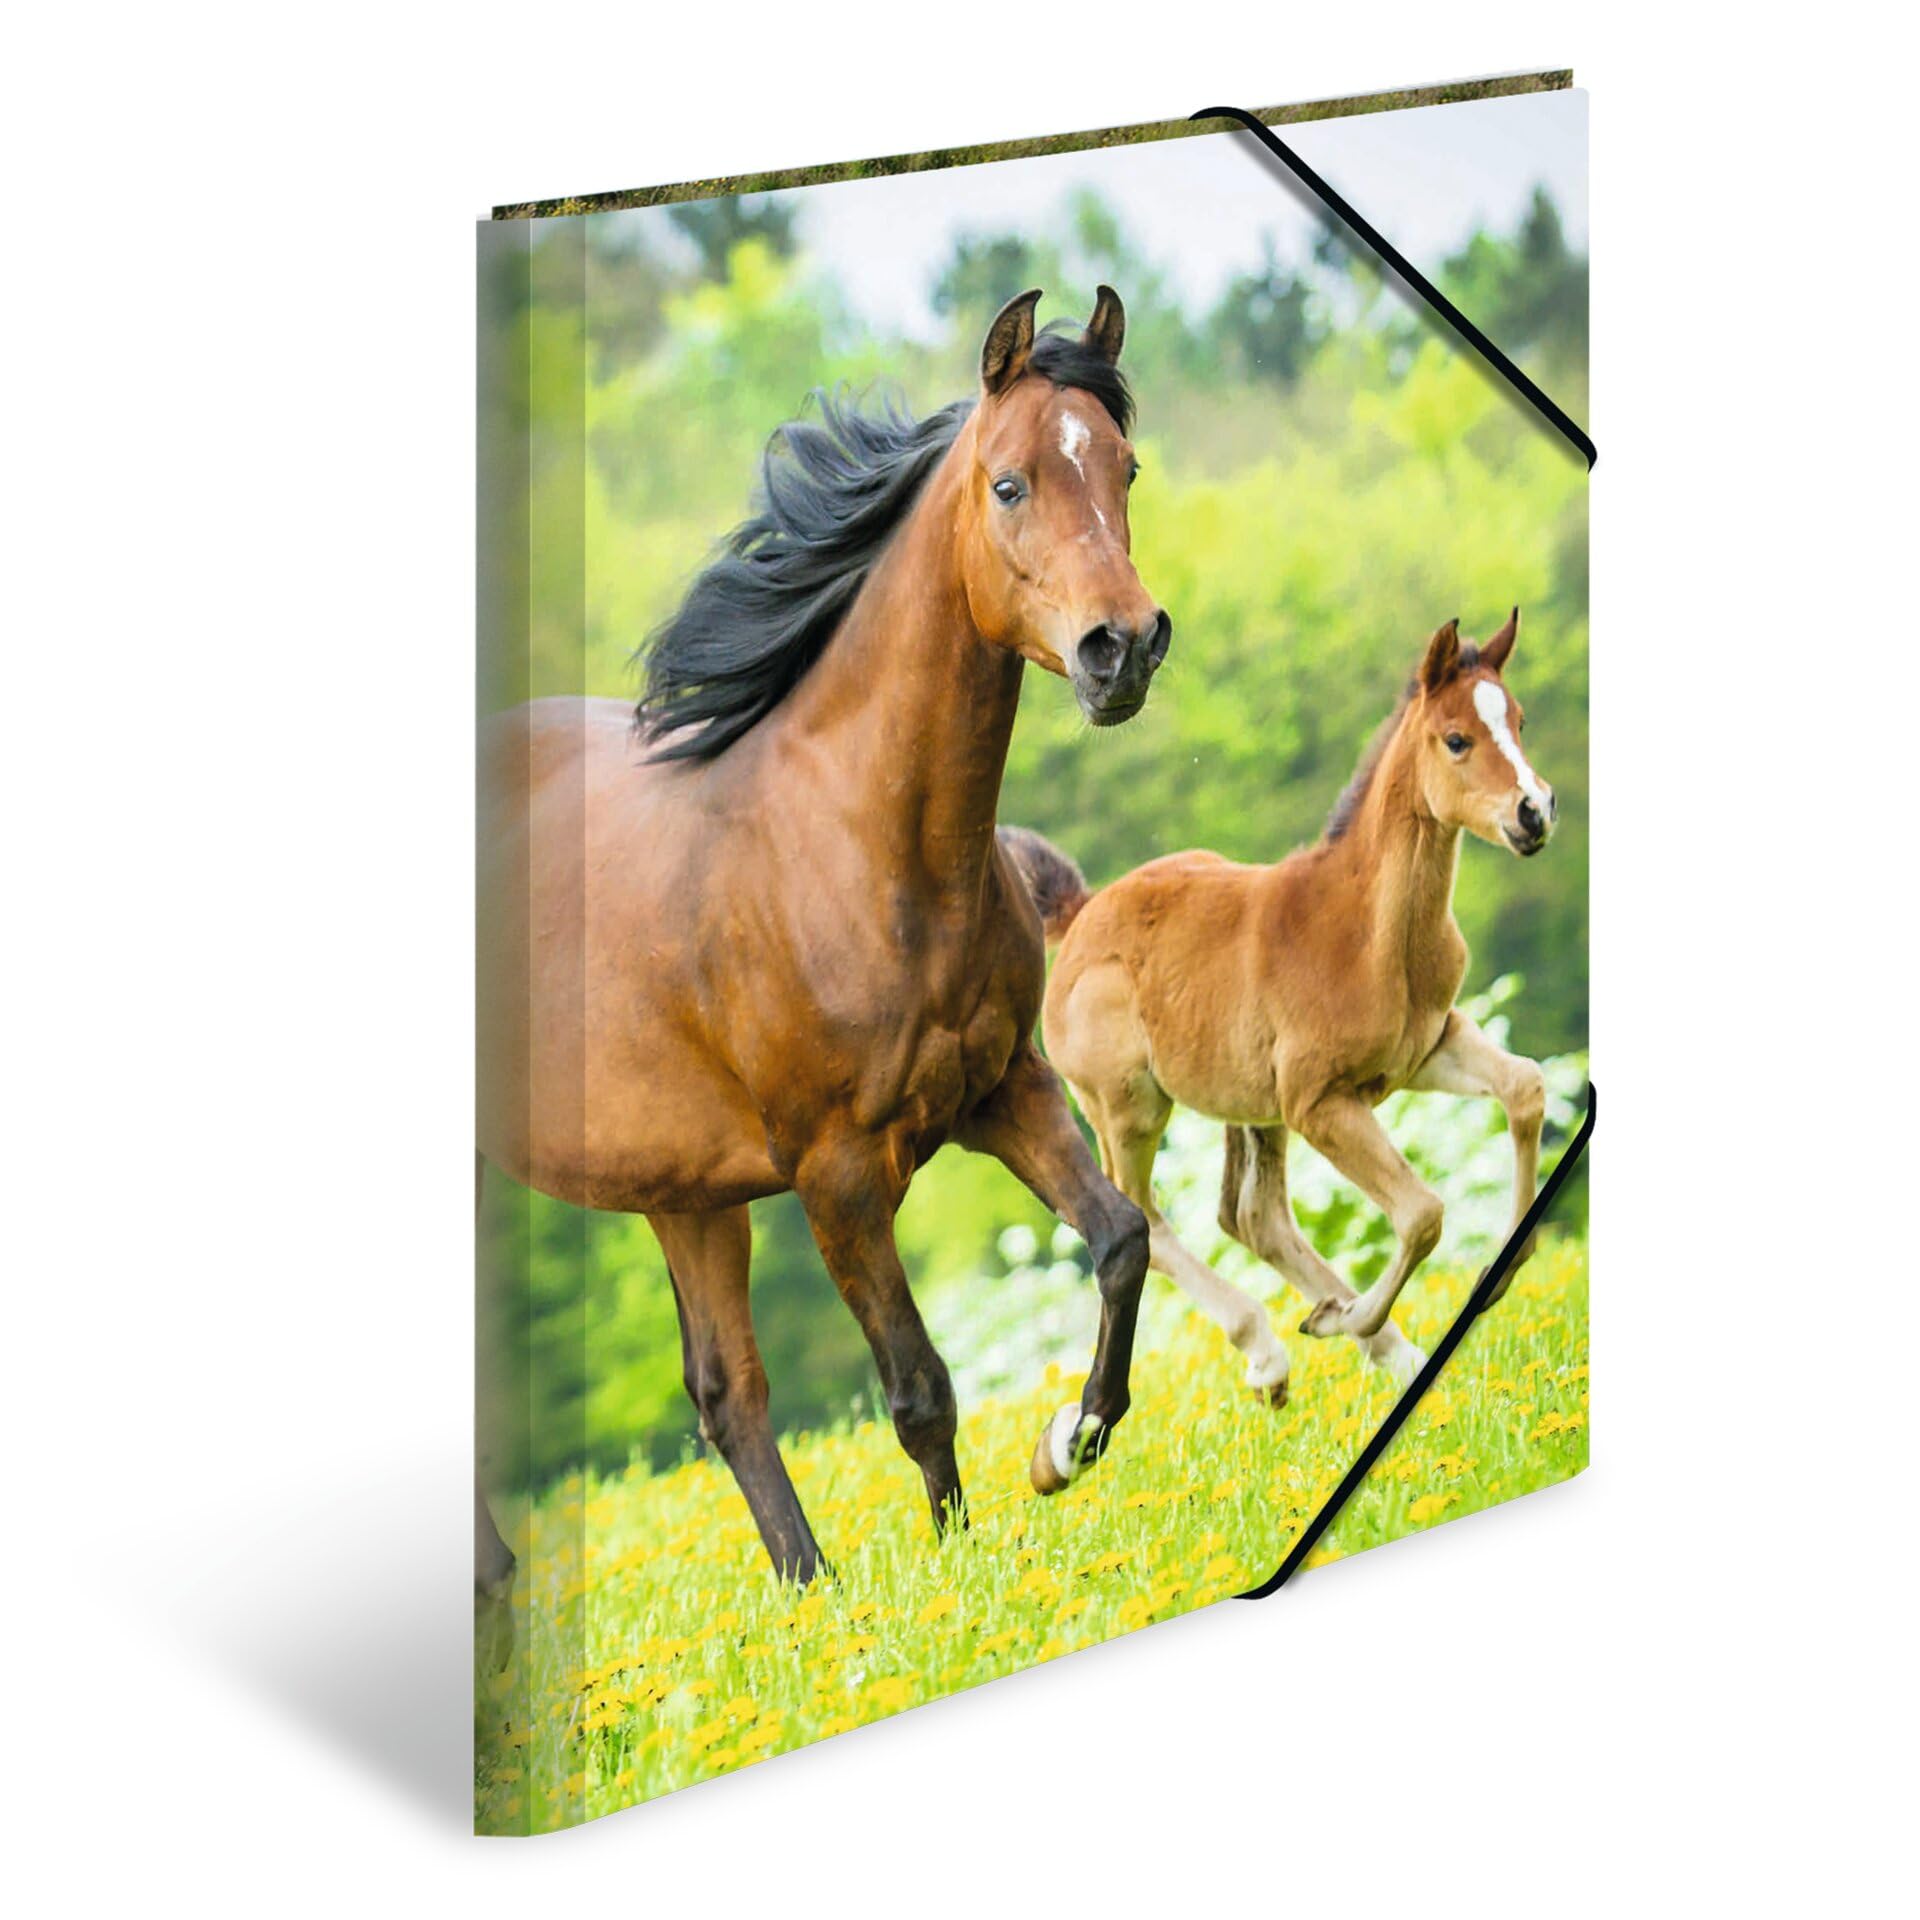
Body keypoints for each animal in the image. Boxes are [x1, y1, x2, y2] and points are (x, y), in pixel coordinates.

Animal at [477, 288, 1172, 1623]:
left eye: (1124, 466)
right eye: (1010, 484)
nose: (1124, 650)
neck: (861, 847)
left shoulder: (1003, 1092)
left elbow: (1119, 1238)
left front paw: (1071, 1441)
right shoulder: (838, 1178)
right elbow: (919, 1388)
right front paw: (956, 1572)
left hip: (686, 1194)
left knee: (725, 1392)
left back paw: (807, 1589)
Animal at [1003, 610, 1555, 1408]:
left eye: (1517, 719)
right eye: (1457, 739)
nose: (1534, 812)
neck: (1369, 930)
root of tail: (1077, 918)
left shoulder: (1427, 1047)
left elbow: (1526, 1088)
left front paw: (1496, 1270)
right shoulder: (1317, 1101)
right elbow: (1423, 1213)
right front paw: (1350, 1315)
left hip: (1247, 1104)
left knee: (1251, 1216)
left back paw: (1380, 1345)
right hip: (1129, 1107)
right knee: (1142, 1217)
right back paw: (1273, 1351)